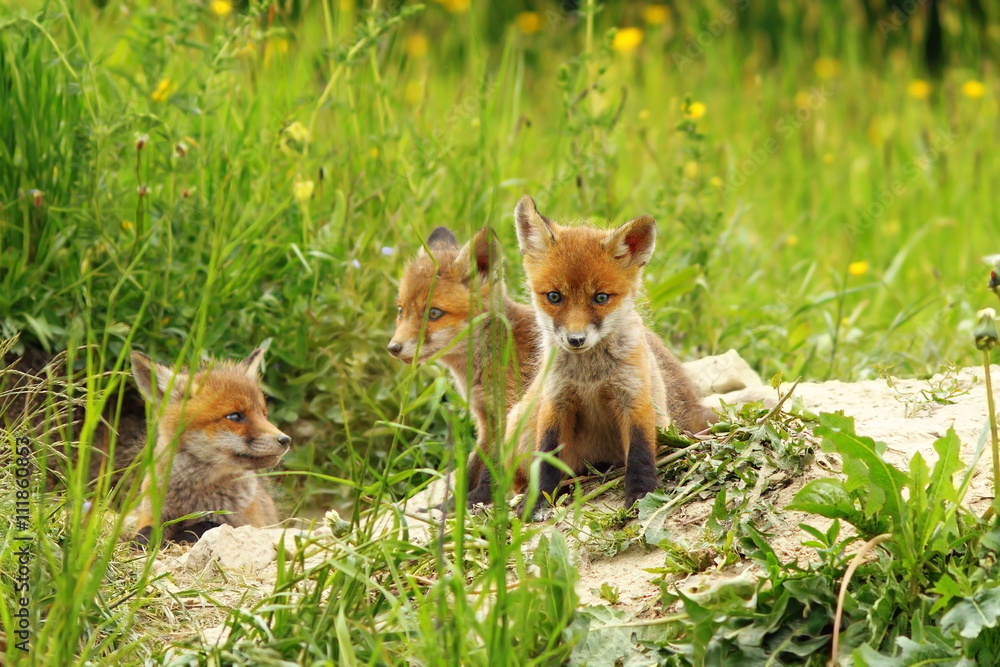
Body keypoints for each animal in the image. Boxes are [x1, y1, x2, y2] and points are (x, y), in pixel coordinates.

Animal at [129, 348, 291, 546]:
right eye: (235, 416)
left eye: (263, 414)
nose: (285, 440)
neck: (194, 495)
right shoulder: (151, 511)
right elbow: (144, 533)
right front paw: (141, 543)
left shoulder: (248, 522)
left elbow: (205, 525)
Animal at [387, 226, 541, 505]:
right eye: (401, 311)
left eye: (434, 313)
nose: (393, 348)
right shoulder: (486, 419)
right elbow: (474, 465)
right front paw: (452, 503)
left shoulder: (511, 410)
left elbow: (494, 469)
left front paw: (475, 501)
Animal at [508, 195, 715, 519]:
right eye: (554, 297)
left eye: (601, 298)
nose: (575, 340)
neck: (590, 378)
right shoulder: (556, 401)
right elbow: (547, 458)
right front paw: (539, 502)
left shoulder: (635, 397)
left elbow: (640, 454)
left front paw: (641, 496)